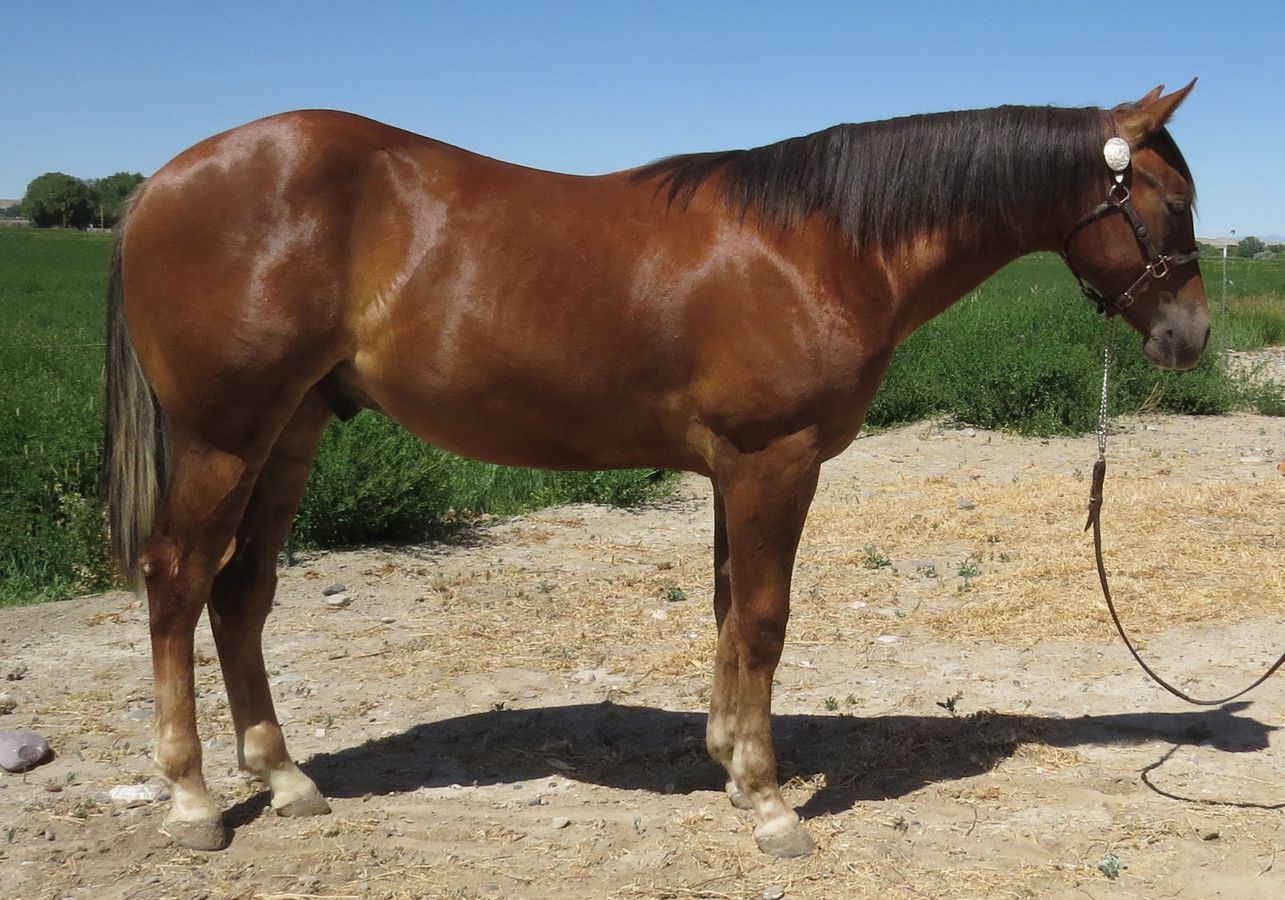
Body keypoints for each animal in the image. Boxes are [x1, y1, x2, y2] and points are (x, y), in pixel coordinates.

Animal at [103, 82, 1209, 857]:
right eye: (1175, 200)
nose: (1191, 337)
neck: (822, 243)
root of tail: (160, 184)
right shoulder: (773, 463)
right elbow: (761, 620)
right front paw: (769, 803)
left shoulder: (732, 471)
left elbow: (725, 613)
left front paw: (727, 761)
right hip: (224, 436)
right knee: (178, 581)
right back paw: (194, 800)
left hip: (290, 433)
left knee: (242, 593)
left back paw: (285, 781)